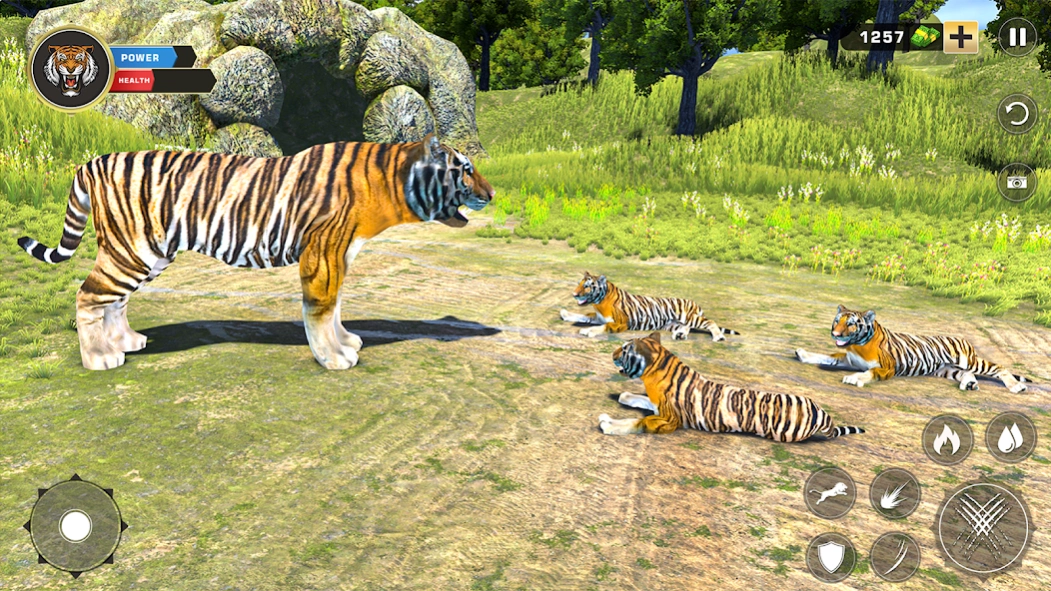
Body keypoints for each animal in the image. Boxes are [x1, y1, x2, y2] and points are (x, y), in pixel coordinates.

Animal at [18, 135, 493, 371]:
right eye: (466, 170)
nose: (491, 194)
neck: (389, 182)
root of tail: (89, 162)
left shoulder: (340, 253)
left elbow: (337, 307)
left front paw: (346, 341)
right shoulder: (323, 251)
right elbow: (321, 308)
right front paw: (334, 358)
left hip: (147, 254)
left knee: (114, 300)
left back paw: (127, 342)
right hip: (129, 251)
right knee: (87, 295)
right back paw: (99, 358)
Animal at [559, 272, 738, 341]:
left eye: (587, 286)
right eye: (579, 284)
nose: (574, 294)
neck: (599, 303)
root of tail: (694, 302)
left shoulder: (621, 323)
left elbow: (604, 326)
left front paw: (588, 331)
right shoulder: (598, 316)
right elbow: (584, 315)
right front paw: (565, 314)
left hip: (689, 317)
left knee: (710, 322)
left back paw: (718, 337)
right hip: (672, 324)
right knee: (686, 328)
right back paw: (680, 335)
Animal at [598, 332, 865, 442]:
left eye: (624, 349)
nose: (611, 353)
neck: (651, 374)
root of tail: (823, 414)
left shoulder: (670, 420)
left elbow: (638, 422)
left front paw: (608, 424)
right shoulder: (657, 405)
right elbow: (637, 398)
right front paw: (622, 396)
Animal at [795, 305, 1029, 393]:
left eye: (851, 324)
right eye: (837, 321)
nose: (835, 334)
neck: (858, 344)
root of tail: (965, 339)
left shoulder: (887, 367)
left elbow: (869, 372)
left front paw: (855, 379)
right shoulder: (848, 359)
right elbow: (827, 355)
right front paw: (803, 354)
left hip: (969, 361)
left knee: (999, 367)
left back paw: (1016, 386)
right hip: (946, 369)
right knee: (966, 374)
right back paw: (970, 384)